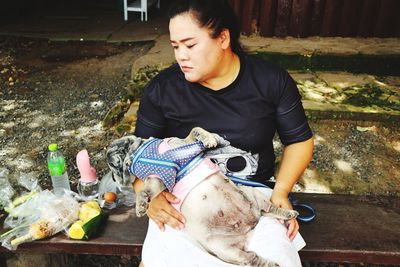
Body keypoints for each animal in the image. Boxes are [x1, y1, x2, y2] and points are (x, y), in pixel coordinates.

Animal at [106, 128, 296, 267]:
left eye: (114, 165)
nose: (116, 178)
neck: (139, 151)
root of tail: (250, 227)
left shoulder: (182, 147)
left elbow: (195, 130)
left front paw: (209, 139)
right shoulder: (158, 178)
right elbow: (147, 191)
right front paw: (141, 204)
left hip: (252, 193)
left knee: (268, 209)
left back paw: (287, 213)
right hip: (227, 250)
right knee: (252, 258)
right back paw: (271, 263)